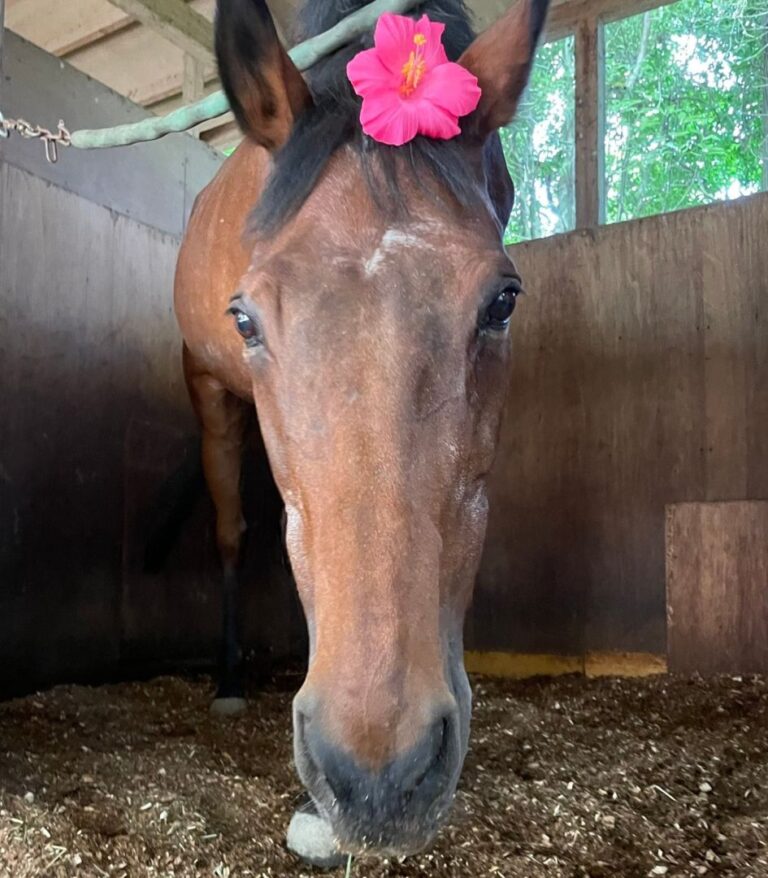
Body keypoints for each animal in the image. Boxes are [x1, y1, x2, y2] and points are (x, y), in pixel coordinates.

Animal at [174, 0, 549, 856]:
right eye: (244, 318)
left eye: (503, 301)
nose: (380, 774)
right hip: (210, 399)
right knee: (233, 531)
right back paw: (231, 679)